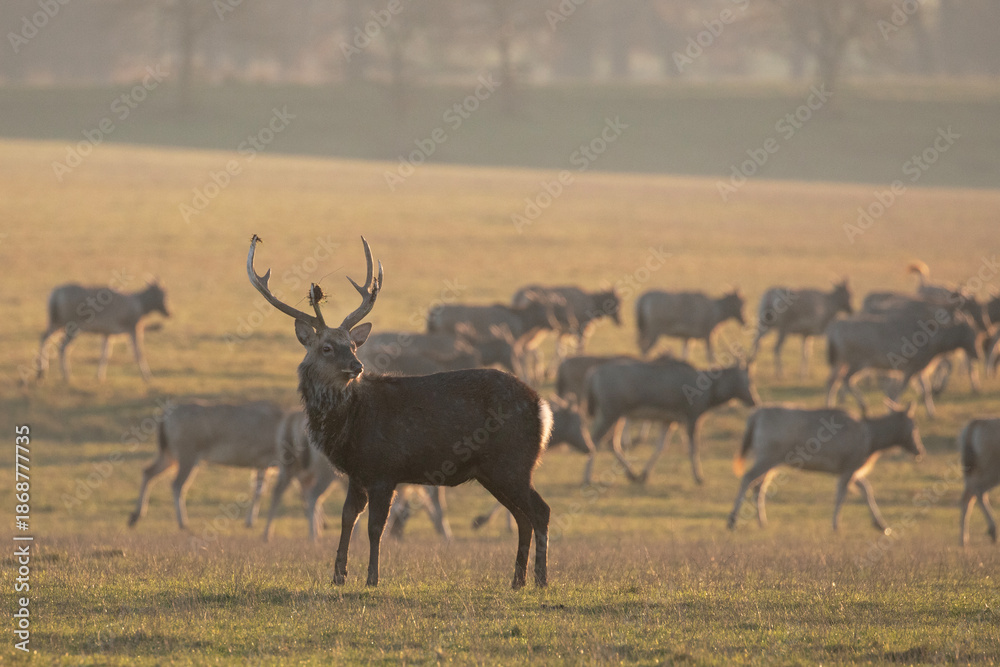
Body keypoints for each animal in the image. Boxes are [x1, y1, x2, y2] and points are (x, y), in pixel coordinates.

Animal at [37, 281, 169, 382]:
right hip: (72, 325)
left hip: (56, 322)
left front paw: (99, 376)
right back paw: (66, 376)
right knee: (63, 347)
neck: (141, 306)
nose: (169, 312)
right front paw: (147, 377)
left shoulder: (108, 333)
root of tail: (55, 295)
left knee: (44, 338)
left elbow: (105, 354)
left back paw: (41, 372)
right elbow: (139, 353)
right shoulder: (133, 328)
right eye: (162, 294)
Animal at [128, 400, 285, 530]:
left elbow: (258, 490)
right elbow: (260, 490)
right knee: (177, 484)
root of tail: (164, 418)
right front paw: (251, 522)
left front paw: (250, 521)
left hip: (169, 453)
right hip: (187, 453)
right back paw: (183, 522)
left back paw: (135, 516)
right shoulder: (265, 459)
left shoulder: (261, 463)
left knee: (148, 471)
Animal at [247, 235, 552, 588]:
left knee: (540, 511)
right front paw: (338, 575)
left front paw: (372, 578)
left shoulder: (385, 468)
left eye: (353, 345)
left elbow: (375, 526)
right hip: (494, 470)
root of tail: (542, 409)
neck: (351, 423)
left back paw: (541, 579)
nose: (357, 366)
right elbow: (347, 518)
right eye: (326, 347)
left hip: (513, 461)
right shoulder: (358, 473)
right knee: (523, 516)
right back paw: (518, 581)